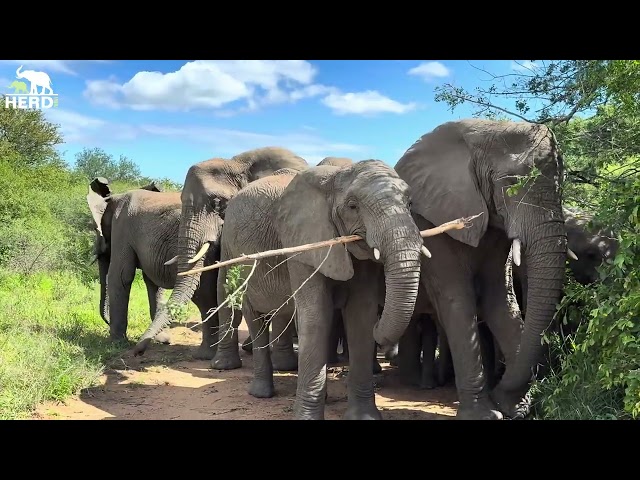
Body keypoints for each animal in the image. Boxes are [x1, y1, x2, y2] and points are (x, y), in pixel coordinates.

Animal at [212, 161, 428, 420]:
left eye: (409, 204)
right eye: (353, 206)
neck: (336, 178)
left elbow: (360, 316)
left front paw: (364, 417)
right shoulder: (301, 243)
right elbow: (315, 316)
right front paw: (306, 417)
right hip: (232, 251)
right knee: (252, 315)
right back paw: (260, 393)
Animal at [388, 118, 568, 418]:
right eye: (511, 183)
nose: (499, 394)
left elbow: (500, 300)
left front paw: (514, 407)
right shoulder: (430, 223)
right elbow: (458, 302)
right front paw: (486, 413)